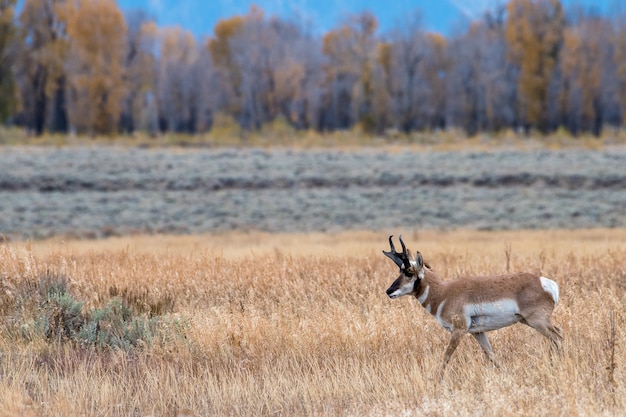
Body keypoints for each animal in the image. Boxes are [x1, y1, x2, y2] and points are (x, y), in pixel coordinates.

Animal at [380, 236, 560, 368]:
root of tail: (544, 282)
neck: (444, 292)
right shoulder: (478, 332)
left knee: (558, 337)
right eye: (400, 271)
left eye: (409, 273)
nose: (388, 291)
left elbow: (446, 357)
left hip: (537, 321)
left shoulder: (458, 331)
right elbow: (491, 355)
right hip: (528, 321)